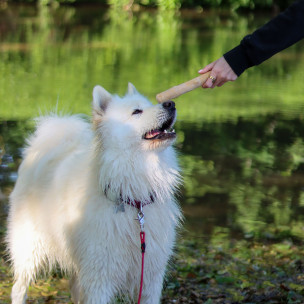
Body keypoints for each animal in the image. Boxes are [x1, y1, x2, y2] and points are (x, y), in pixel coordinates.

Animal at [6, 83, 183, 304]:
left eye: (150, 104)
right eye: (136, 111)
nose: (170, 103)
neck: (135, 201)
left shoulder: (150, 275)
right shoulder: (100, 277)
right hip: (30, 250)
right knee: (19, 288)